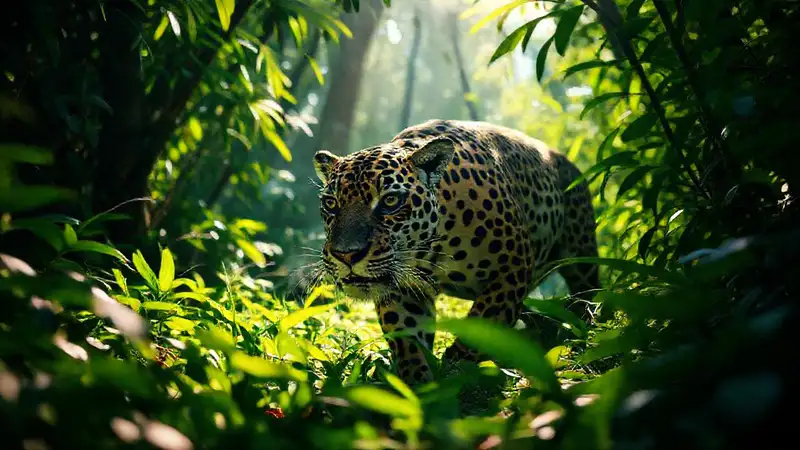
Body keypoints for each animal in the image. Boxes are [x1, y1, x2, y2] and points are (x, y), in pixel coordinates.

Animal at [311, 119, 600, 385]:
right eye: (330, 203)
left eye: (390, 201)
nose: (346, 255)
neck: (431, 250)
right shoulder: (404, 290)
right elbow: (410, 342)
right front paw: (420, 386)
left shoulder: (512, 271)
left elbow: (482, 328)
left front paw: (455, 374)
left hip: (581, 252)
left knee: (587, 290)